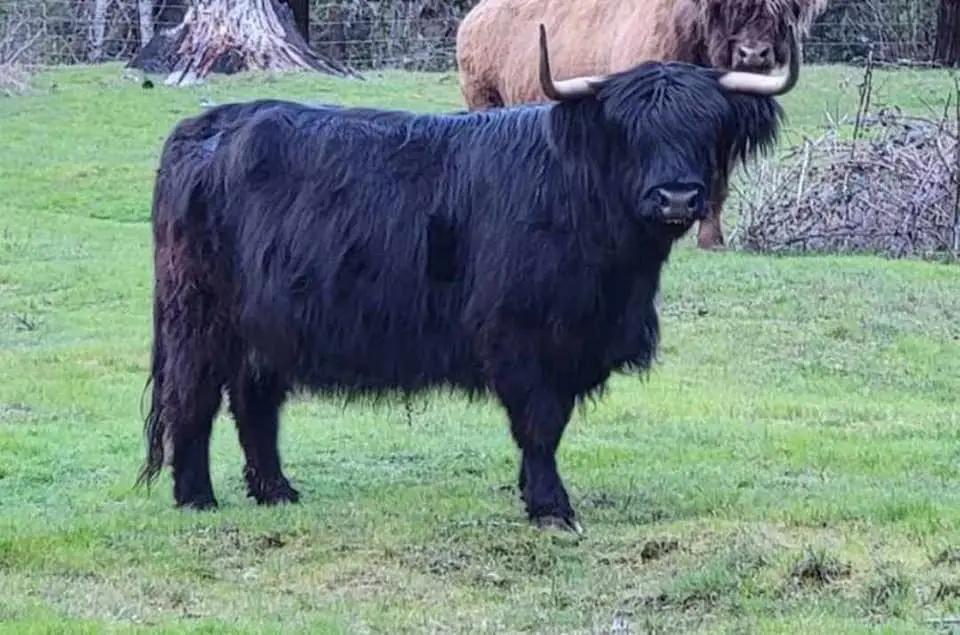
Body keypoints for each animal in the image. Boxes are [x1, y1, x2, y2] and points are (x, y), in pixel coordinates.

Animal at [136, 24, 799, 533]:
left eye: (706, 127)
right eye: (629, 132)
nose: (676, 197)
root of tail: (206, 128)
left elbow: (548, 425)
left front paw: (532, 494)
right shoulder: (519, 334)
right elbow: (540, 423)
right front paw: (551, 508)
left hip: (267, 322)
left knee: (255, 401)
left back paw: (276, 490)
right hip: (198, 314)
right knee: (192, 397)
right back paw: (197, 497)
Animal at [455, 0, 826, 250]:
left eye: (779, 12)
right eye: (726, 10)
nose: (754, 54)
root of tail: (474, 17)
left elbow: (716, 187)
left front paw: (712, 240)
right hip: (484, 99)